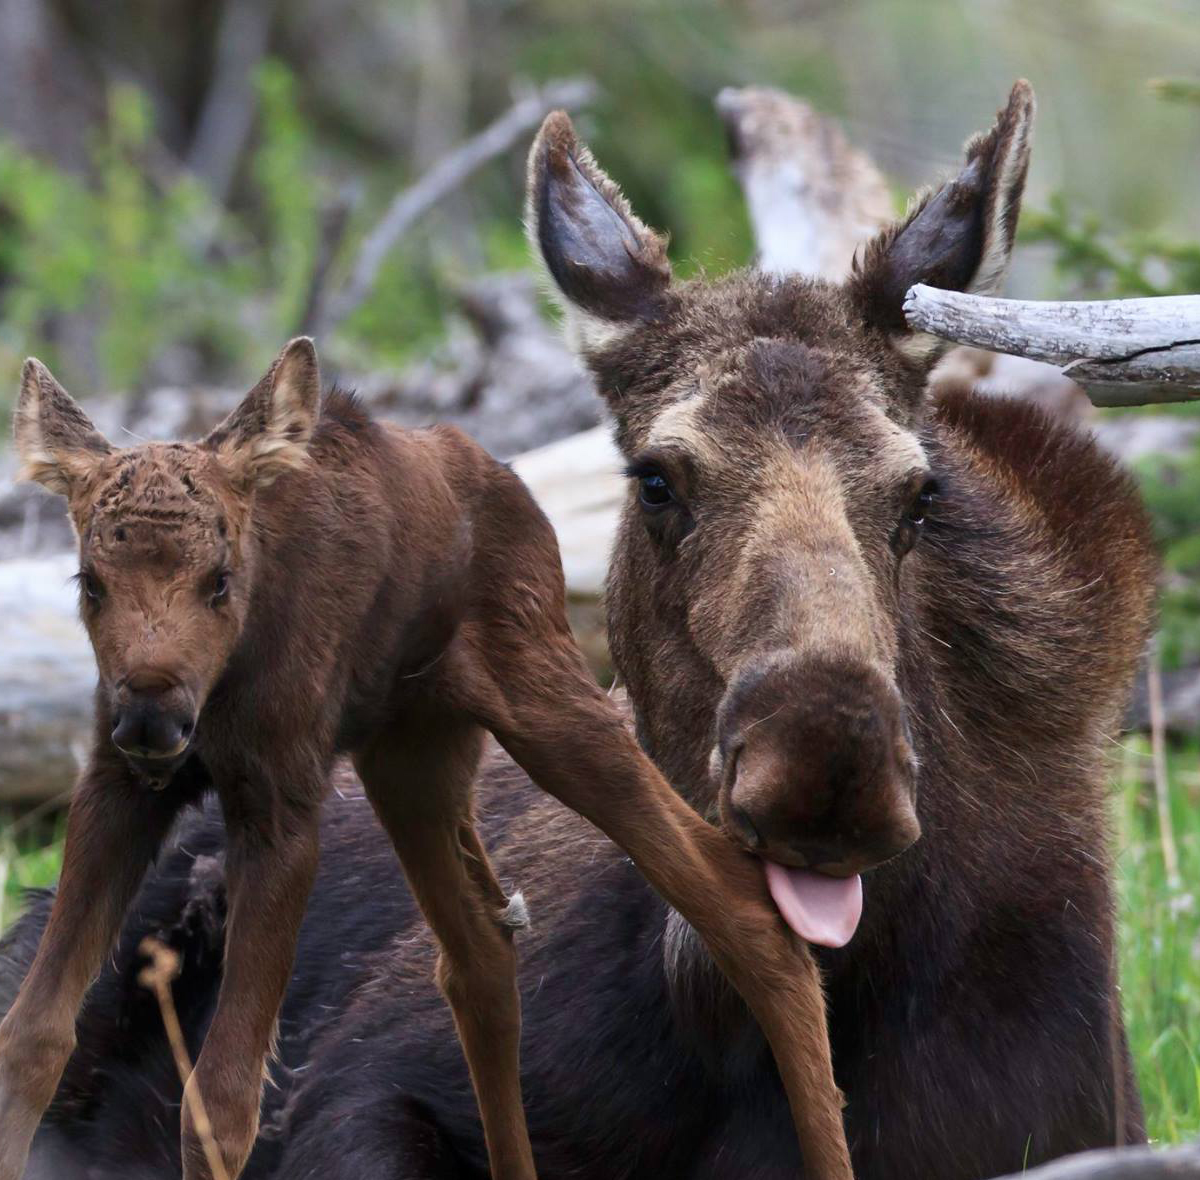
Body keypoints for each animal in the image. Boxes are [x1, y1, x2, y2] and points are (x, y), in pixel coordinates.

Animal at [0, 340, 868, 1180]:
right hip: (411, 758)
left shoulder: (282, 807)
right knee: (482, 953)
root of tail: (502, 475)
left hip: (547, 701)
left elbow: (221, 1098)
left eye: (219, 580)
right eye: (89, 581)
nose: (151, 714)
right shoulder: (118, 787)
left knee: (743, 907)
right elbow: (32, 1036)